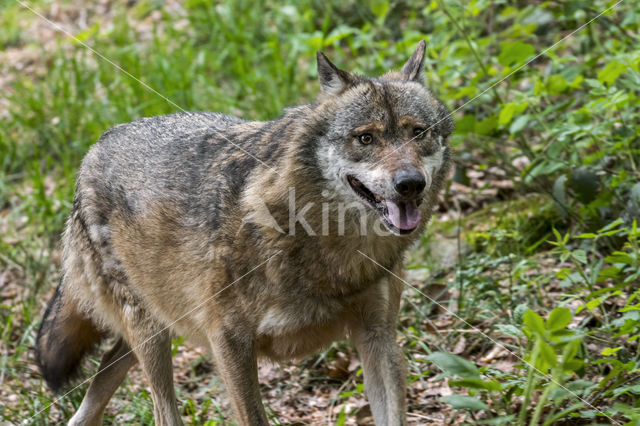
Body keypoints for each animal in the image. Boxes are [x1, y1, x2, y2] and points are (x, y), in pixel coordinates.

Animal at [36, 40, 456, 426]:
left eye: (418, 133)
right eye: (366, 138)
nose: (410, 184)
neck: (329, 247)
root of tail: (96, 145)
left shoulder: (379, 338)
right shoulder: (230, 343)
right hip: (151, 336)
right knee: (161, 412)